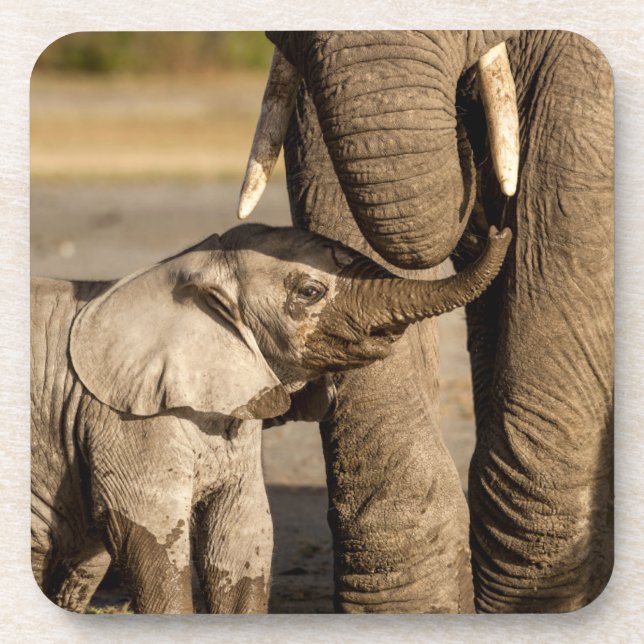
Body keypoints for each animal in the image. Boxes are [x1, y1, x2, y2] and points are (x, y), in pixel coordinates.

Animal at [31, 221, 510, 613]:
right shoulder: (126, 420)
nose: (496, 230)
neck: (190, 270)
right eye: (310, 292)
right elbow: (148, 532)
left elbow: (243, 535)